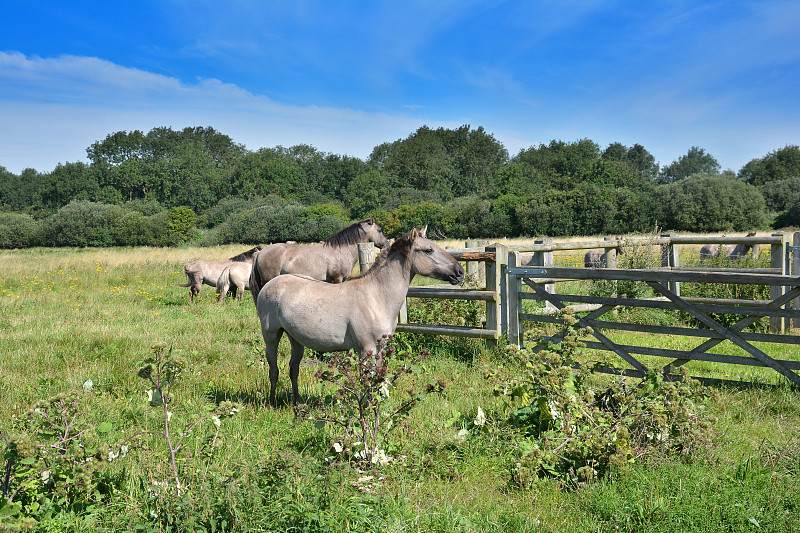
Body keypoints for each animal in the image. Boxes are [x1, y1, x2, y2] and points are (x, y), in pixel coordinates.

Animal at [258, 224, 462, 404]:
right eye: (428, 250)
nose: (459, 272)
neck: (376, 296)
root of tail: (269, 285)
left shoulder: (380, 349)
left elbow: (376, 381)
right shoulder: (366, 350)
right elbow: (366, 382)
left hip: (295, 338)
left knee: (294, 369)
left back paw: (297, 403)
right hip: (271, 336)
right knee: (273, 369)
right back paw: (272, 402)